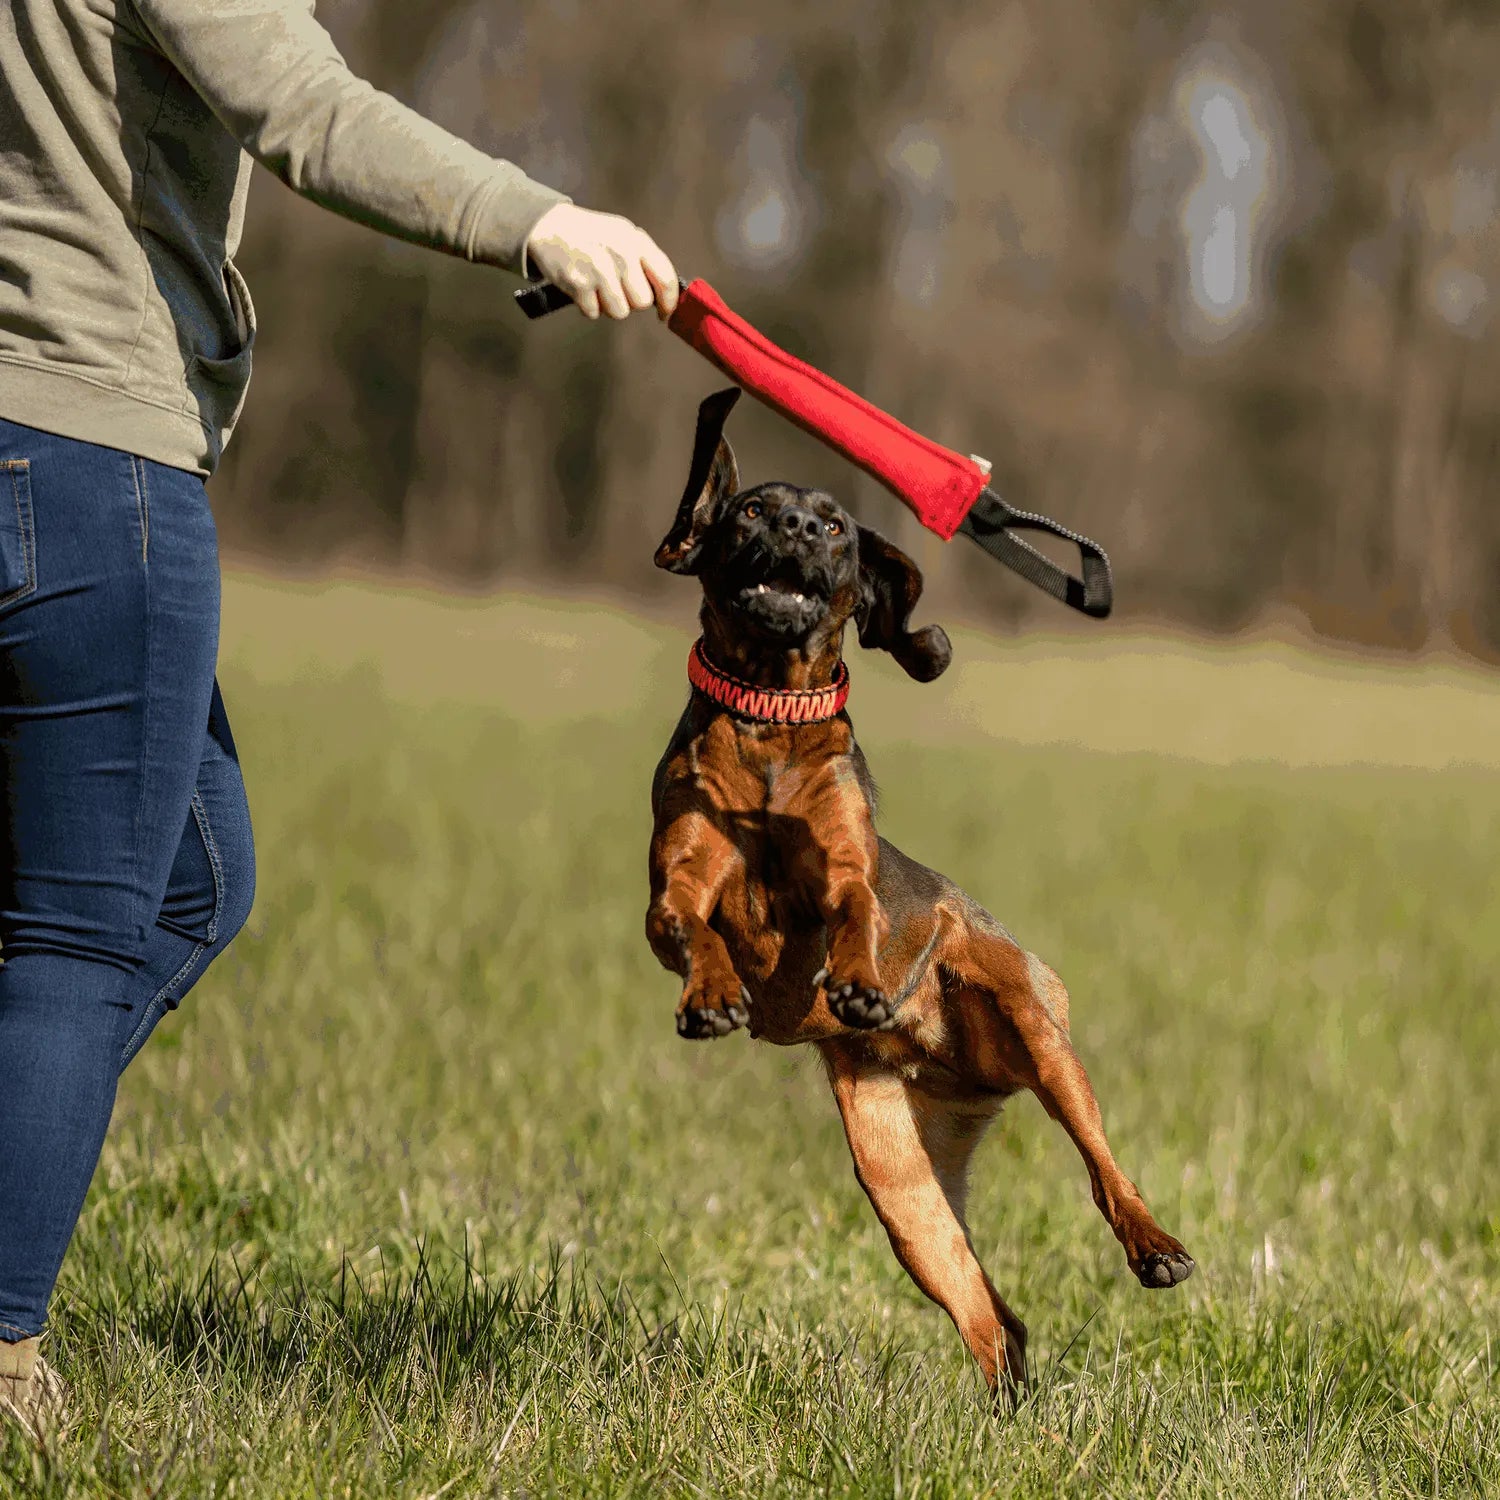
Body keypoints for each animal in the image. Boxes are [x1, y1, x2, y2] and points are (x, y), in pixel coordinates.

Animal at [645, 390, 1194, 1392]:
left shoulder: (845, 873)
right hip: (904, 1193)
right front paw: (711, 997)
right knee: (995, 1320)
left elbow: (858, 909)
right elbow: (694, 927)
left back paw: (1154, 1246)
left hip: (1045, 1046)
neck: (767, 721)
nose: (793, 529)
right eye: (752, 510)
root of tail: (951, 1067)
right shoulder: (674, 888)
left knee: (1105, 1172)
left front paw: (862, 982)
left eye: (832, 526)